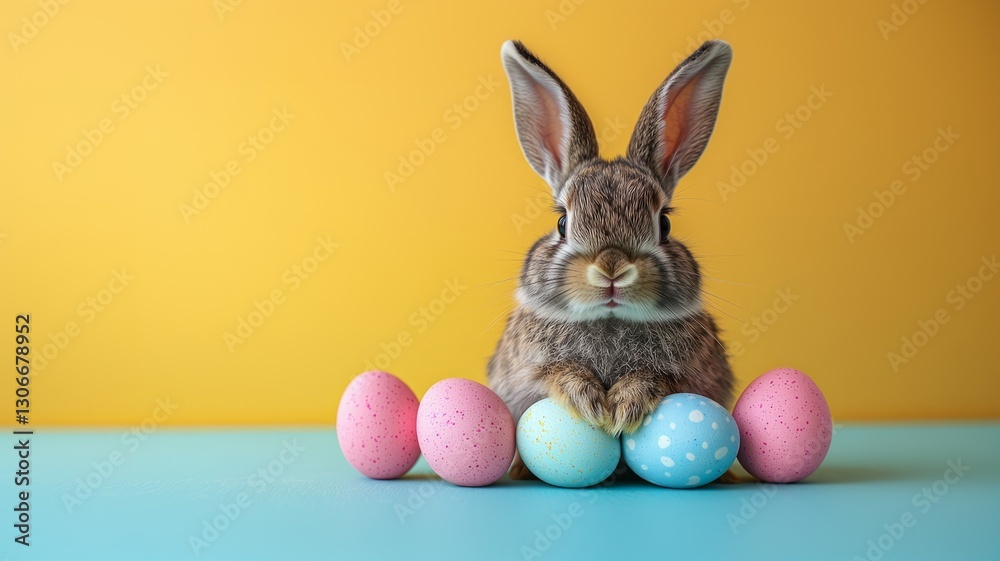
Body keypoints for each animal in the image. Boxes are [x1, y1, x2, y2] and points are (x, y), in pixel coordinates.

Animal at [488, 39, 736, 479]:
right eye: (562, 222)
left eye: (664, 224)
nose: (612, 268)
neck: (609, 320)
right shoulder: (522, 376)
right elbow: (551, 374)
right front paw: (586, 398)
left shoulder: (699, 380)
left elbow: (663, 379)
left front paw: (625, 403)